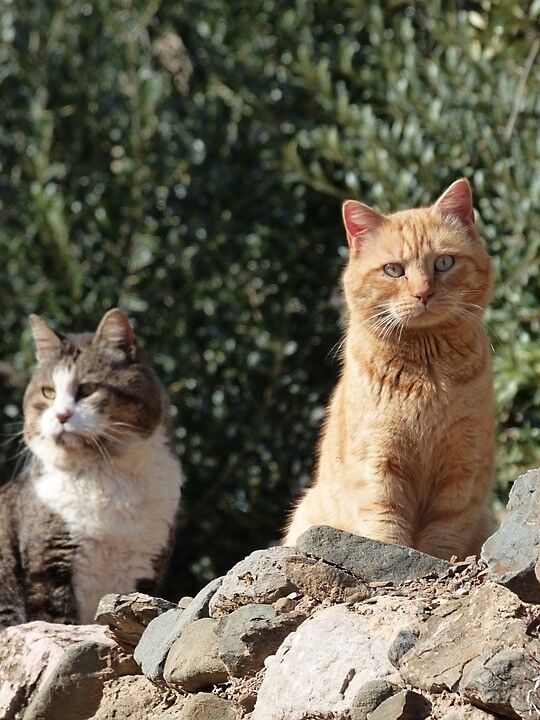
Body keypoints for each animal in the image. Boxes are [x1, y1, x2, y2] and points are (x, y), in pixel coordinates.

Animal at [0, 308, 182, 624]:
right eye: (48, 392)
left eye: (88, 389)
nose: (61, 415)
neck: (105, 473)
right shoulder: (47, 566)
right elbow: (57, 620)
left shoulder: (144, 567)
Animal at [284, 177, 496, 560]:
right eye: (394, 270)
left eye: (444, 263)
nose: (423, 293)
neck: (427, 373)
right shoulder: (377, 462)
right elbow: (385, 523)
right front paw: (393, 555)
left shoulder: (462, 465)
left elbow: (445, 531)